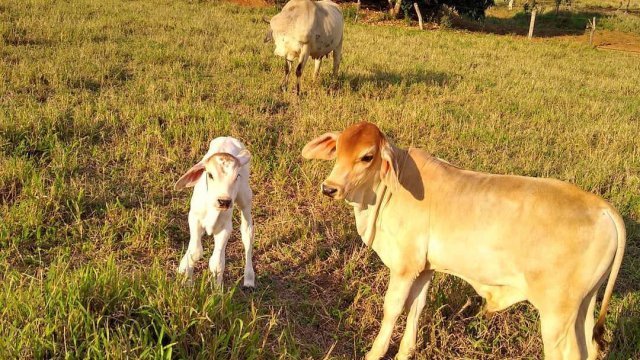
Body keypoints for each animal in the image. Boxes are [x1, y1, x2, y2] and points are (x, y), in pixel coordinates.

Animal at [302, 121, 624, 360]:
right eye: (338, 149)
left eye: (367, 157)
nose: (329, 188)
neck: (386, 190)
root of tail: (604, 208)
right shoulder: (425, 269)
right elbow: (416, 308)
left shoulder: (405, 267)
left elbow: (392, 308)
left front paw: (374, 353)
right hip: (584, 305)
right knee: (589, 347)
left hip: (557, 313)